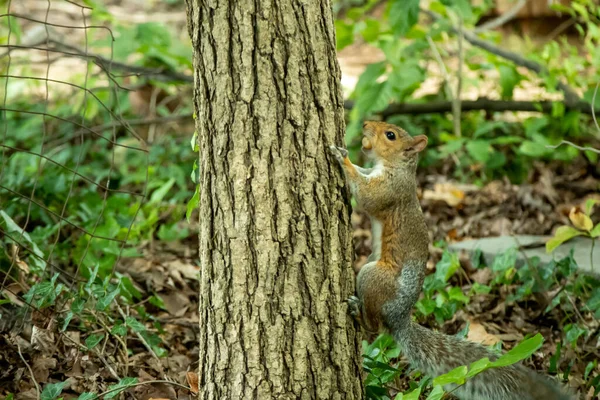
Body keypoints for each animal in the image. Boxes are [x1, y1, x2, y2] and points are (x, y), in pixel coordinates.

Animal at [330, 120, 576, 400]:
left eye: (390, 135)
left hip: (374, 277)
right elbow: (364, 173)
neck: (396, 167)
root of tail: (399, 318)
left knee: (375, 327)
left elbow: (367, 195)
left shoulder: (390, 190)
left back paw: (357, 312)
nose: (365, 124)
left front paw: (342, 158)